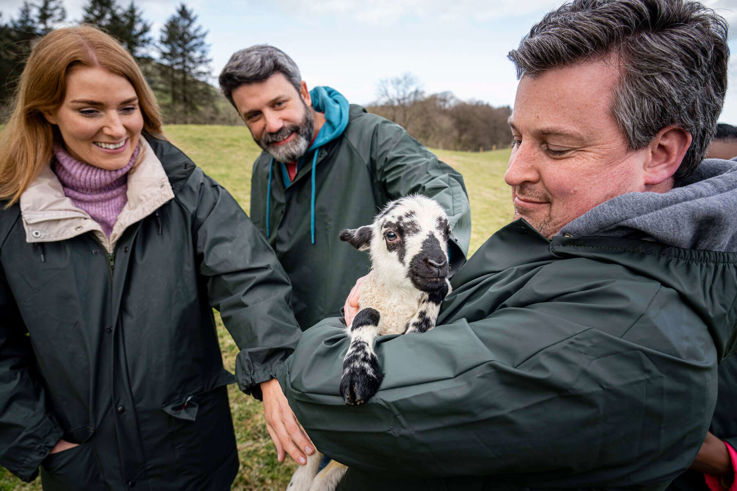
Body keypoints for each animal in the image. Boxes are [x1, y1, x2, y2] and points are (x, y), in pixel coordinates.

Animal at [286, 195, 448, 491]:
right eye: (391, 234)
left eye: (446, 231)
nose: (438, 263)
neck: (396, 302)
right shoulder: (361, 308)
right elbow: (366, 315)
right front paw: (357, 372)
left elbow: (435, 296)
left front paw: (420, 324)